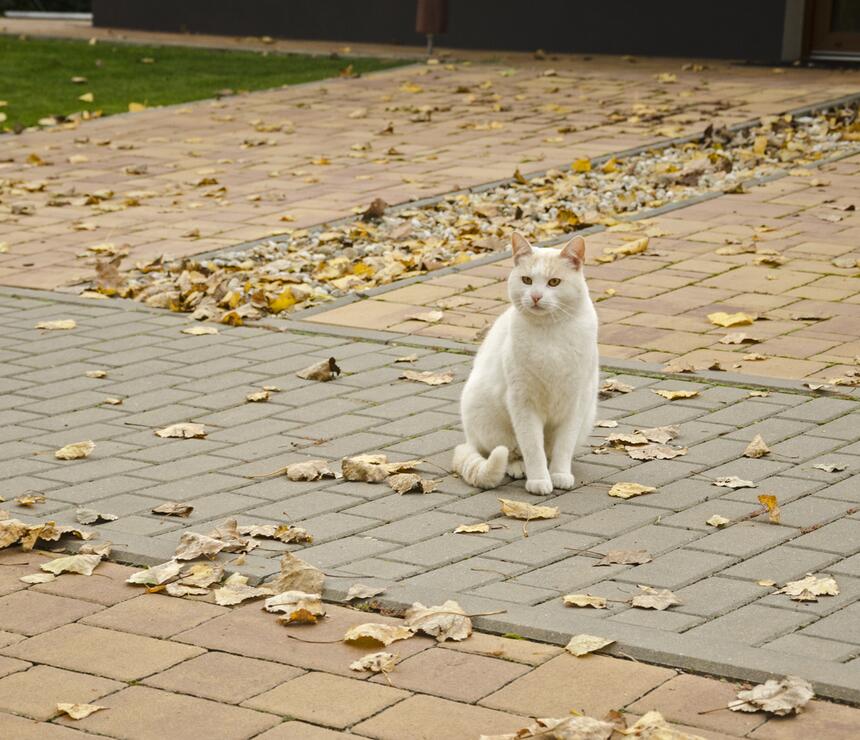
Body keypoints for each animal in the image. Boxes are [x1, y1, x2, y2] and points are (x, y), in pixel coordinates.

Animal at [450, 234, 596, 494]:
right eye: (527, 280)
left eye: (554, 282)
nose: (536, 296)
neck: (550, 334)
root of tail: (469, 439)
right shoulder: (522, 403)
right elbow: (532, 447)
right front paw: (539, 480)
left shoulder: (576, 402)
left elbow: (564, 446)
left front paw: (559, 474)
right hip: (489, 419)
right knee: (511, 452)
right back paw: (519, 468)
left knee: (551, 451)